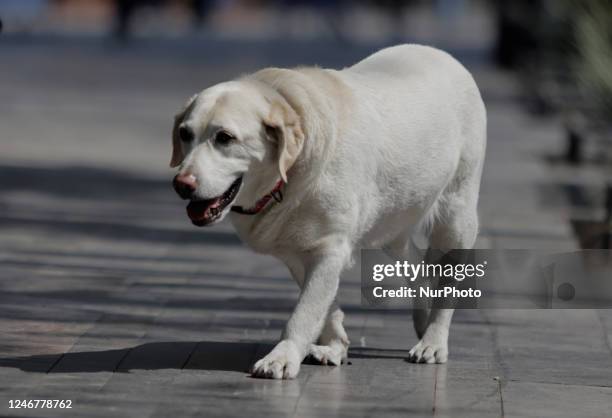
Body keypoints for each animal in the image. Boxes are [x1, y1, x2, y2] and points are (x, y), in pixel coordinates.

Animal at [170, 45, 486, 378]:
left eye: (225, 138)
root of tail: (440, 53)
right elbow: (325, 307)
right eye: (185, 134)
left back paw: (433, 341)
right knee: (419, 267)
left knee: (447, 281)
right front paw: (335, 347)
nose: (182, 184)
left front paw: (282, 356)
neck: (289, 173)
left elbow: (304, 312)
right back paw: (422, 321)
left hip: (456, 216)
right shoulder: (300, 253)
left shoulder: (329, 249)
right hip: (390, 227)